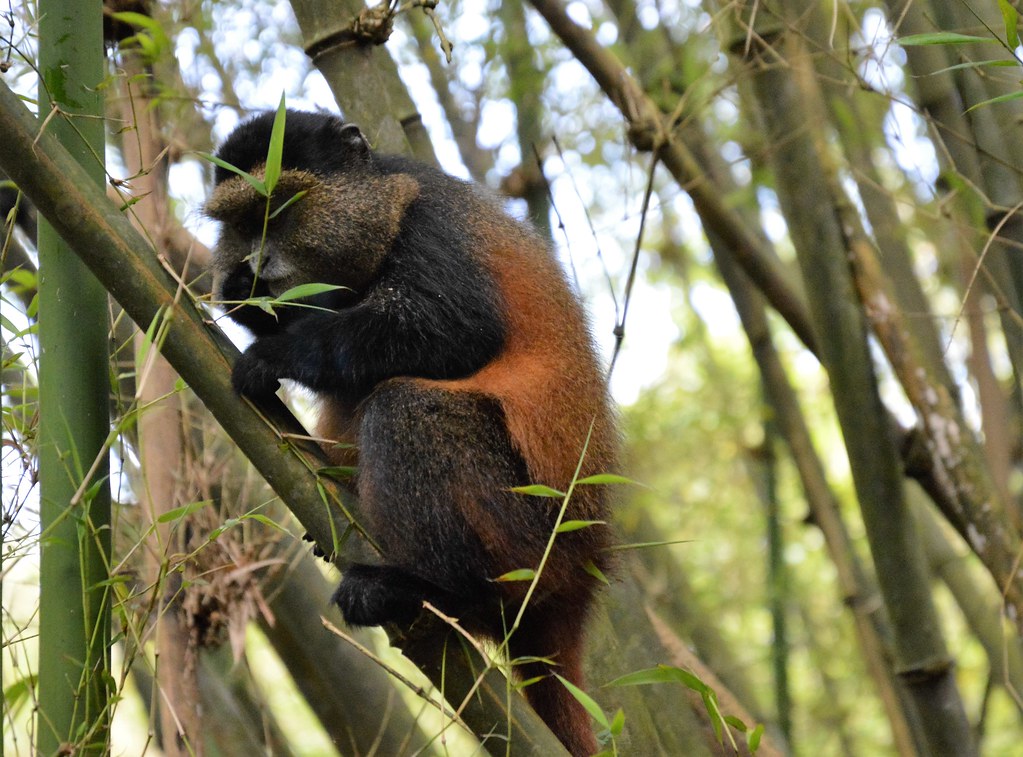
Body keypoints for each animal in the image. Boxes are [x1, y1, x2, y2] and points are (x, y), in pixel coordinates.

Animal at [206, 110, 617, 757]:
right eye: (243, 225)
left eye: (284, 210)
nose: (258, 267)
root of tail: (583, 575)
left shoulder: (430, 226)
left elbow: (452, 330)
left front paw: (273, 355)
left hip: (533, 541)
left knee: (406, 409)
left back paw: (436, 592)